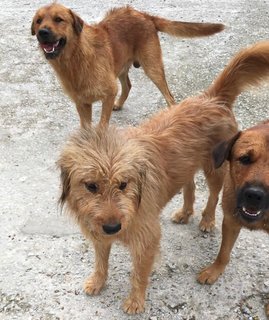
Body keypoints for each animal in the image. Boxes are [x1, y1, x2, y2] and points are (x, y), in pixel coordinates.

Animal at [31, 3, 224, 127]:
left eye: (58, 19)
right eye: (38, 21)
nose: (42, 32)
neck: (76, 59)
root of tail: (145, 15)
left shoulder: (109, 93)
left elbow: (102, 125)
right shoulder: (82, 103)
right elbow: (87, 129)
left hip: (153, 68)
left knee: (169, 96)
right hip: (121, 67)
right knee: (128, 85)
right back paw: (119, 104)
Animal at [197, 120, 268, 318]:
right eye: (244, 159)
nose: (255, 195)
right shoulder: (231, 221)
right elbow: (223, 253)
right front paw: (214, 271)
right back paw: (207, 220)